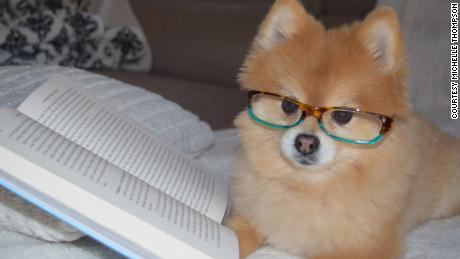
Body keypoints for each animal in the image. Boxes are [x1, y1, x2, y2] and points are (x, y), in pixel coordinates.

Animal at [226, 1, 460, 258]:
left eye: (342, 115)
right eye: (288, 105)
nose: (305, 142)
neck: (309, 185)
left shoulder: (366, 246)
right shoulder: (252, 217)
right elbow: (233, 234)